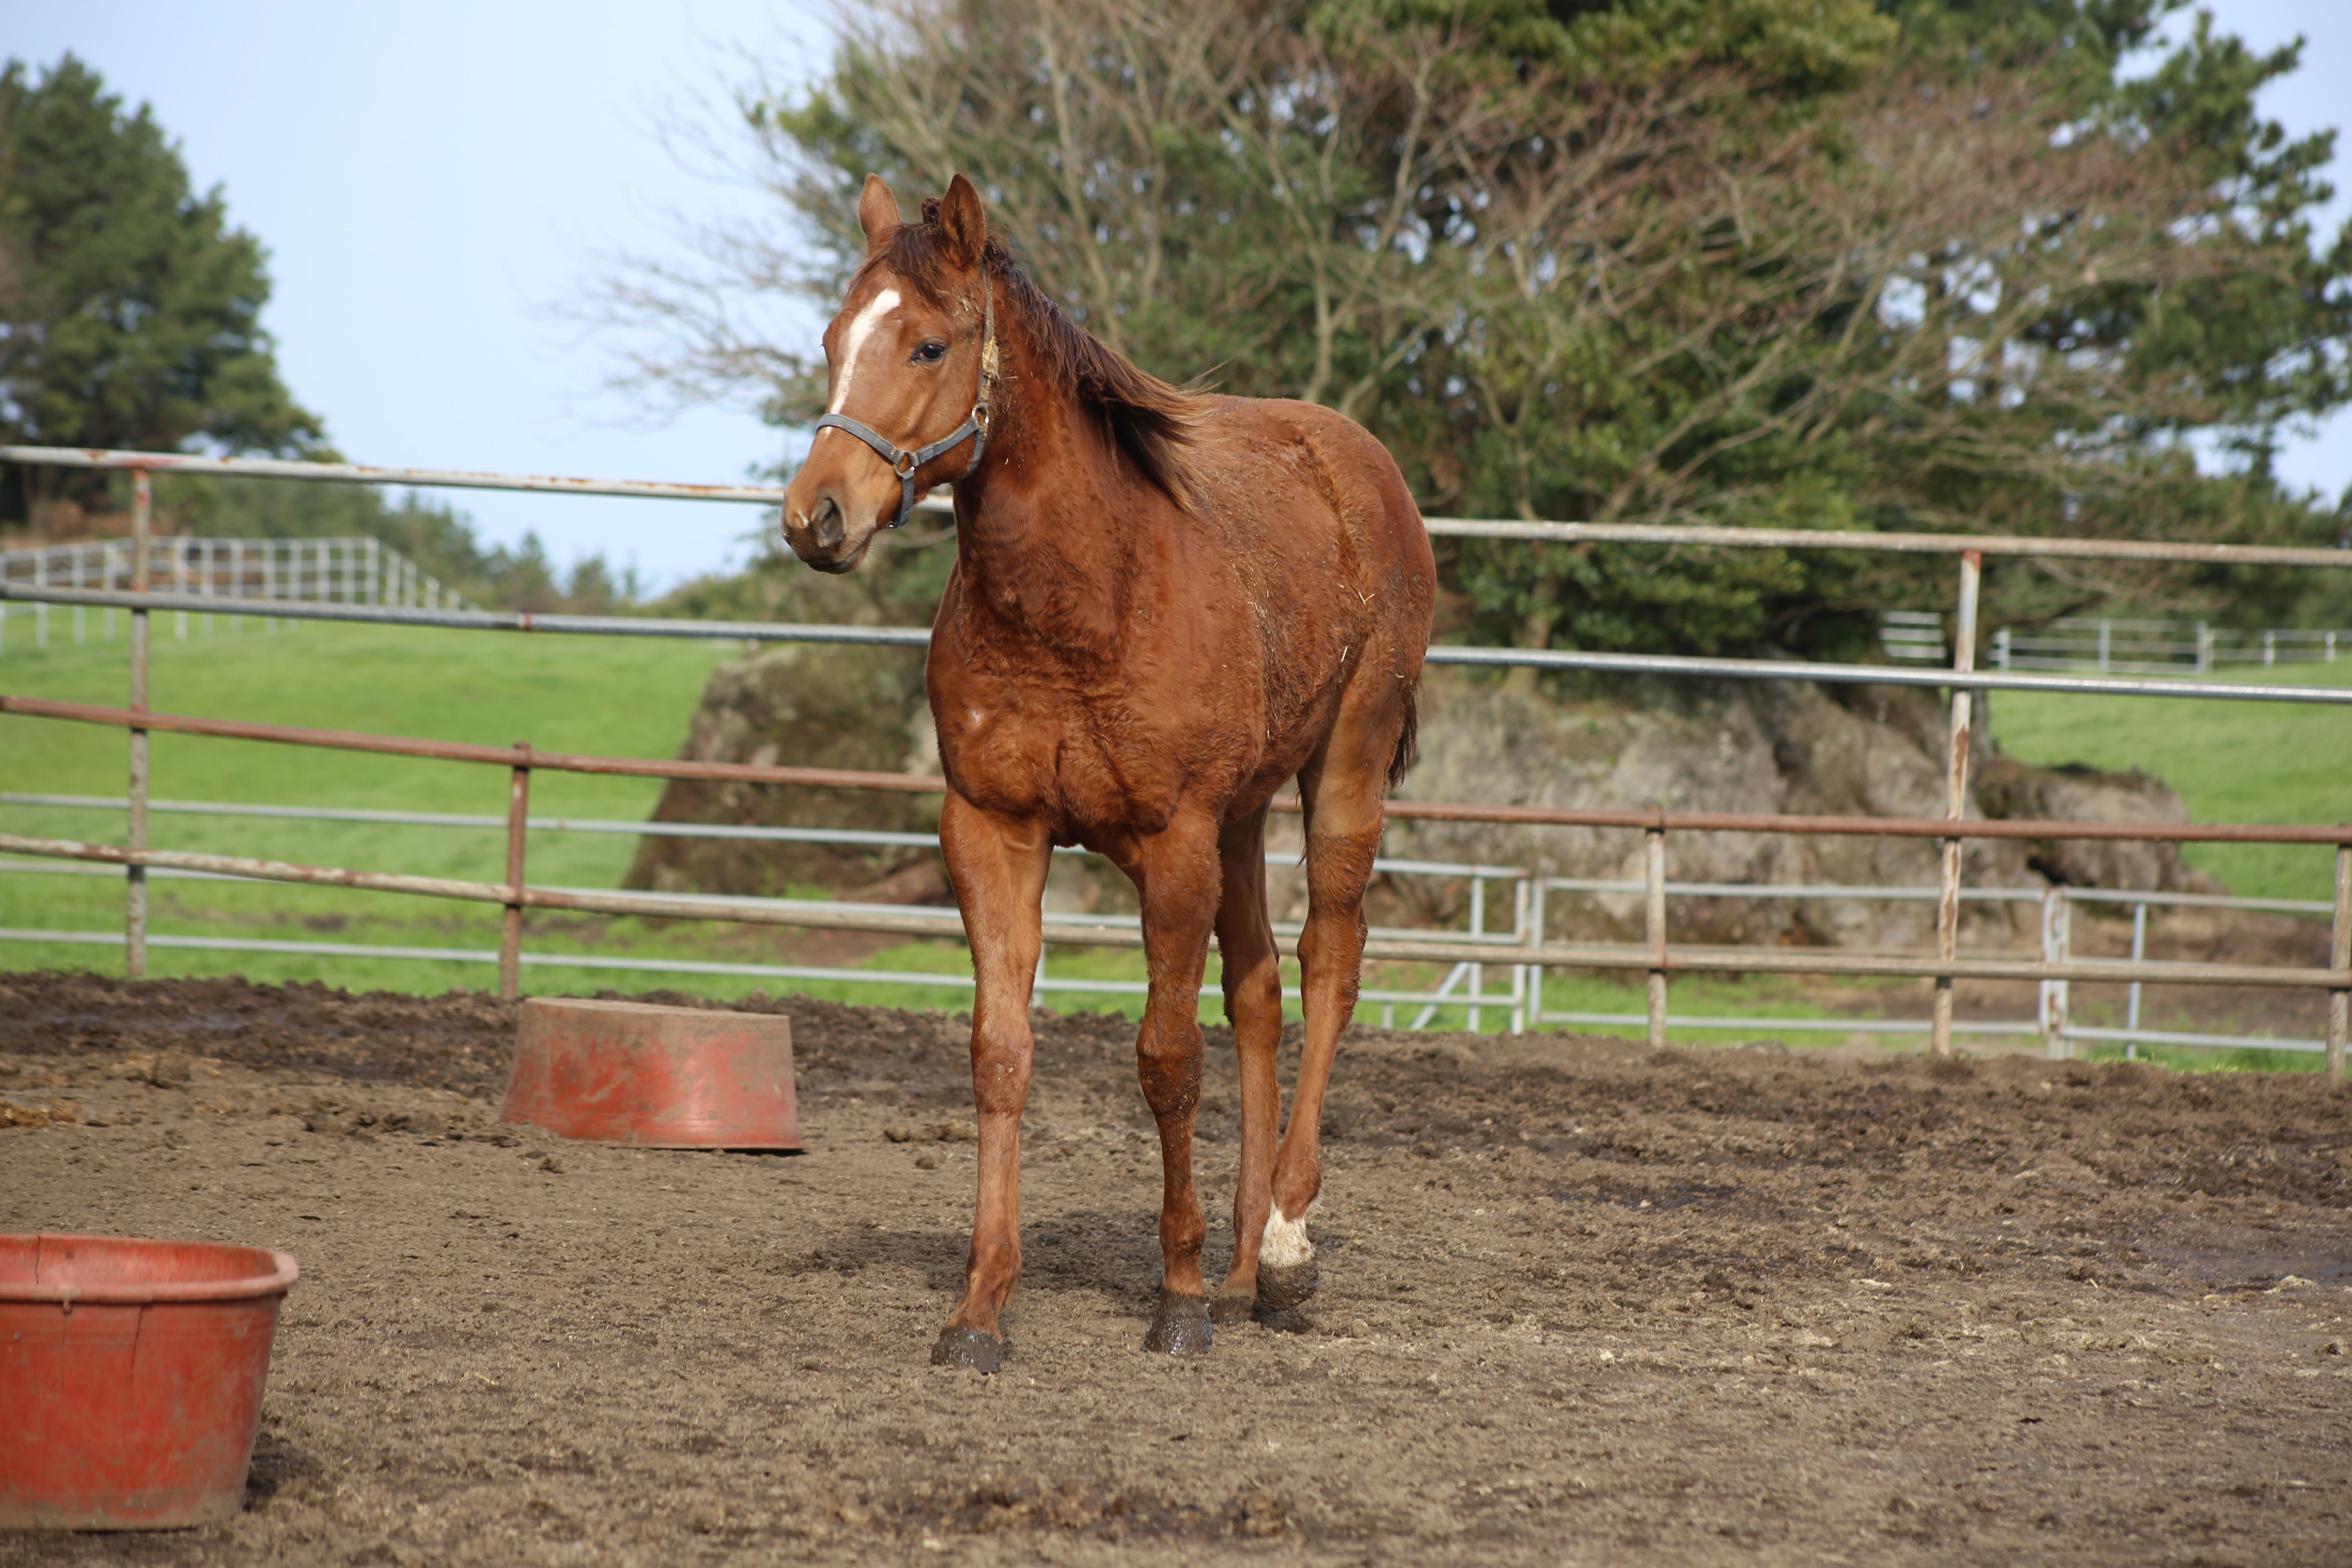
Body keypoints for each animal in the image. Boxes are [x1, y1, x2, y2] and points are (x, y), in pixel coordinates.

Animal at [781, 175, 1430, 1373]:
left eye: (930, 345)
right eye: (834, 341)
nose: (817, 516)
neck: (1081, 598)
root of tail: (1354, 460)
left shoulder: (1171, 844)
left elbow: (1166, 1059)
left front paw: (1175, 1301)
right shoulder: (990, 830)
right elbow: (1000, 1054)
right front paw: (980, 1309)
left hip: (1343, 773)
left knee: (1329, 965)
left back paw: (1283, 1246)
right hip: (1242, 815)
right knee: (1259, 989)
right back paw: (1240, 1258)